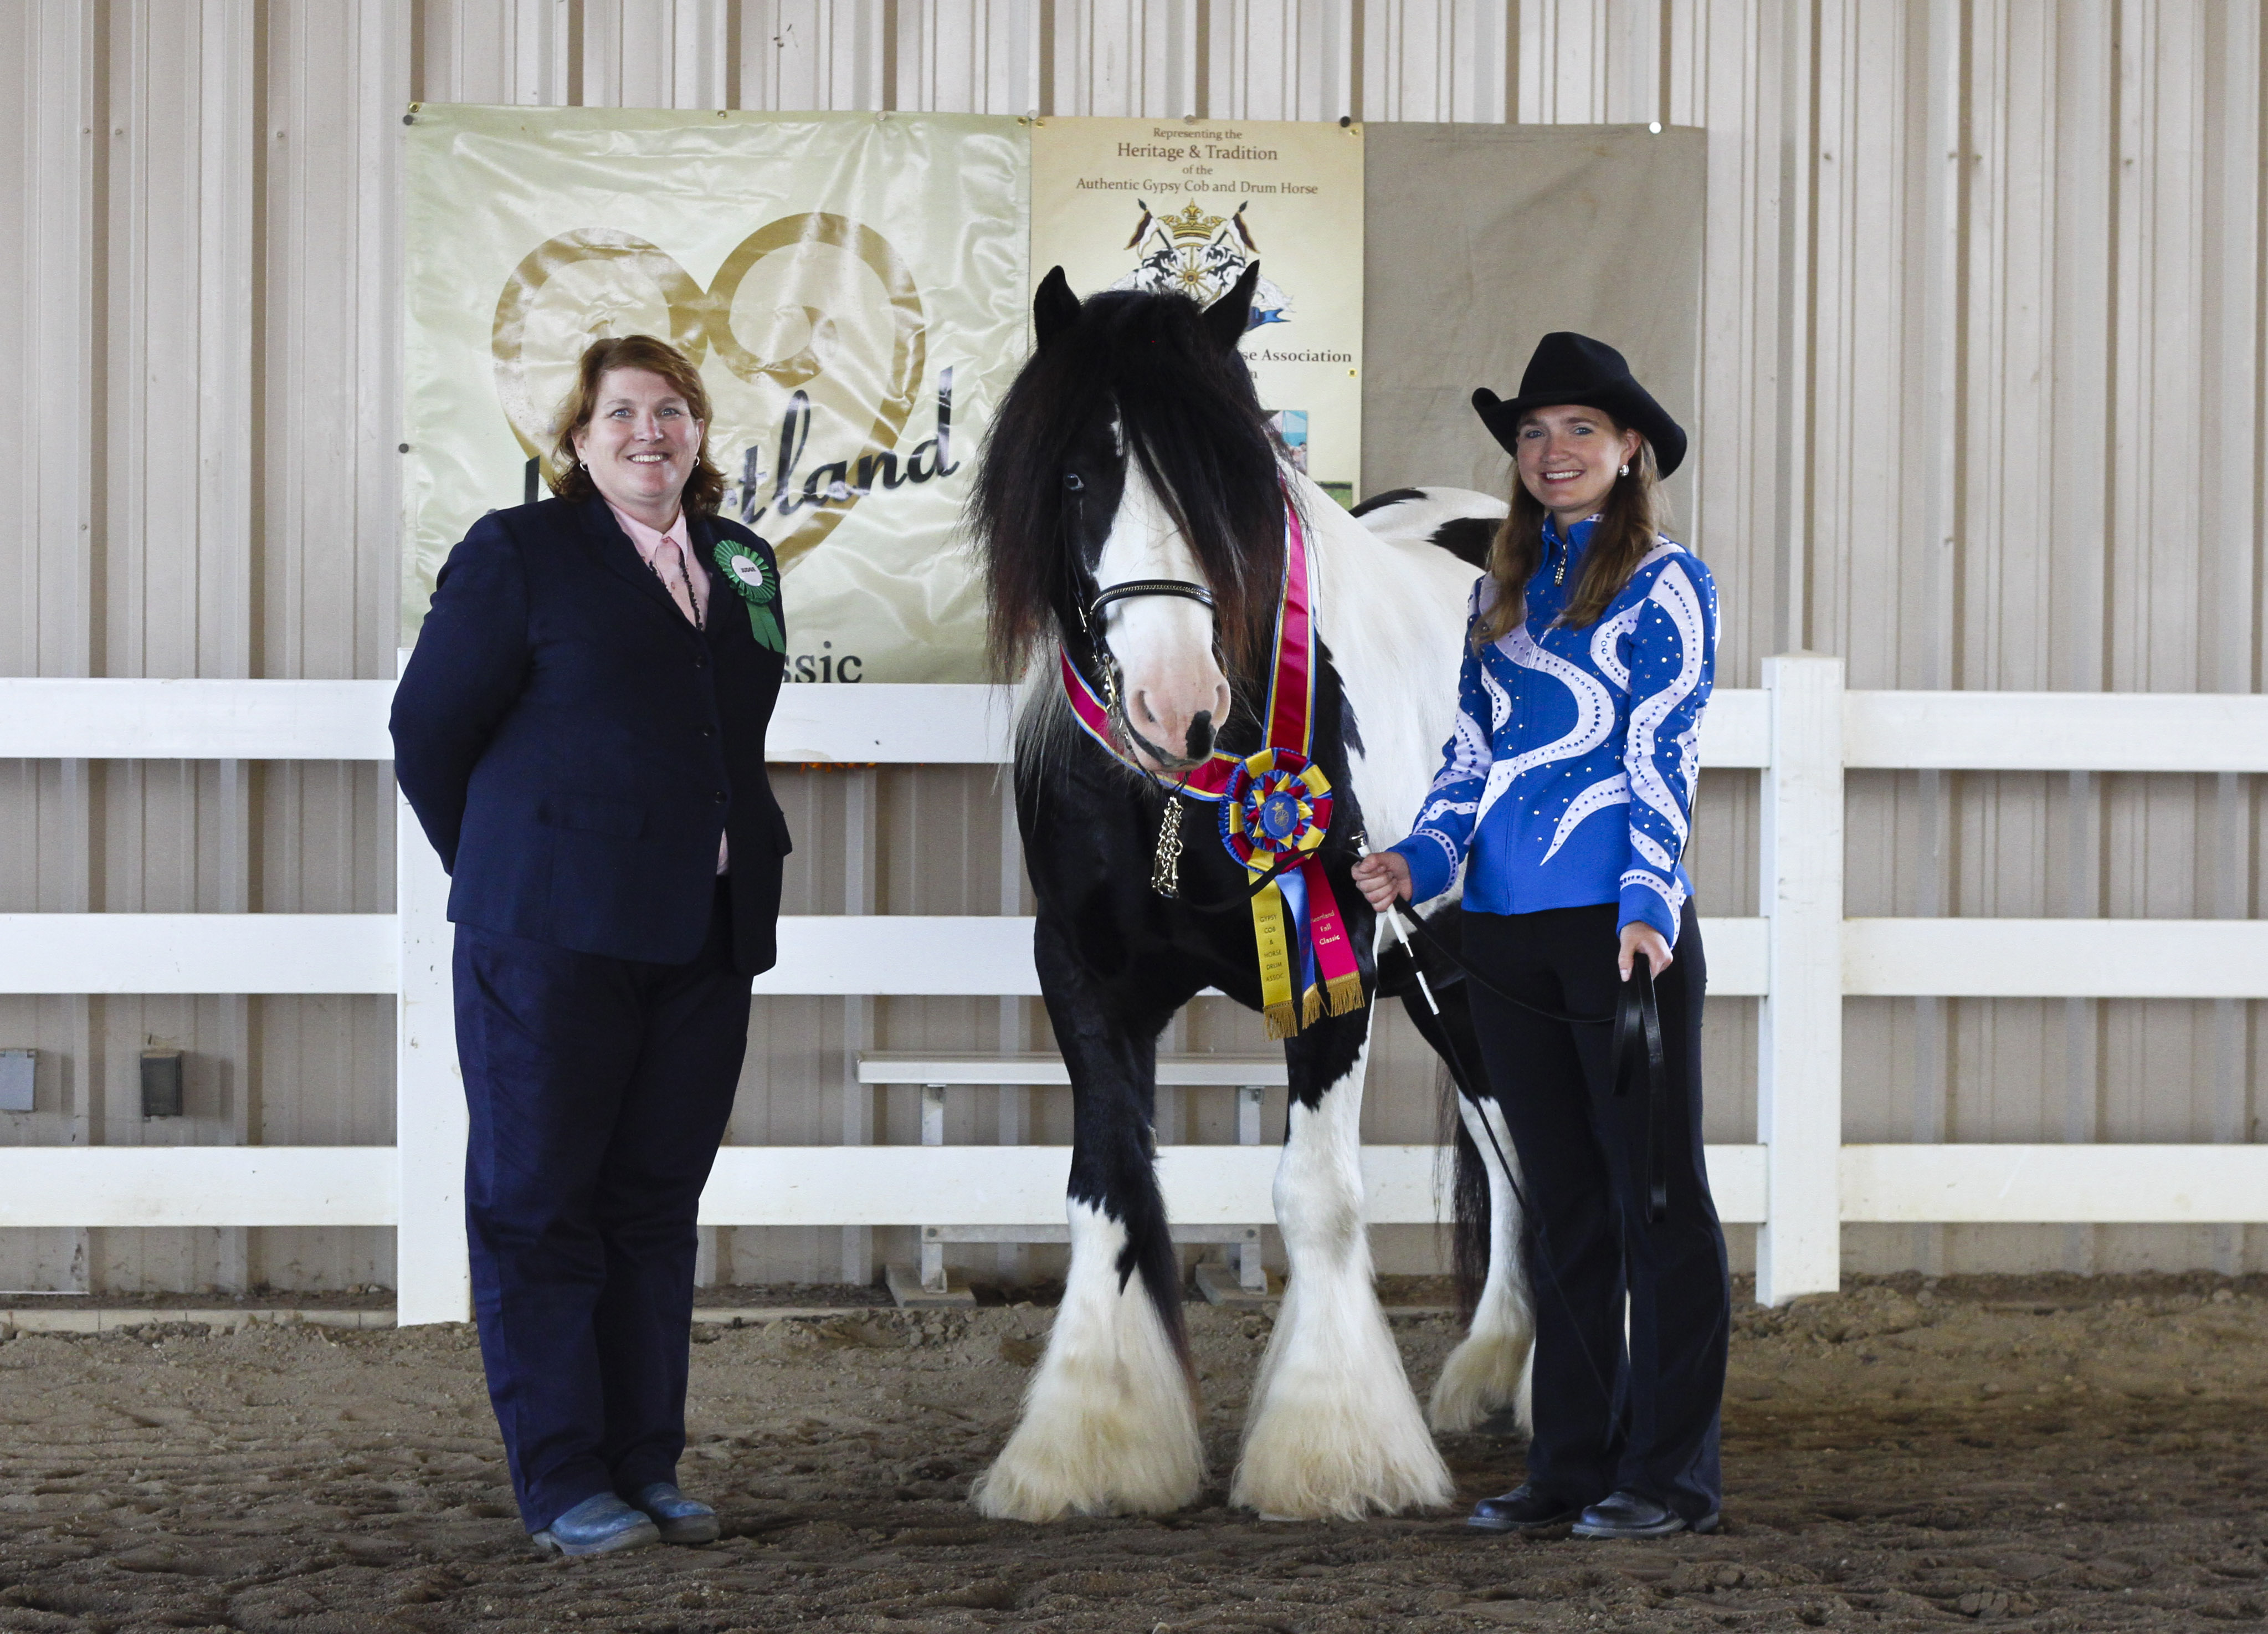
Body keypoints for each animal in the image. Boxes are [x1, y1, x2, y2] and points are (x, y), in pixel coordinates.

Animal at [966, 262, 1533, 1525]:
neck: (1172, 801)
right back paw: (1498, 1364)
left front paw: (1329, 1453)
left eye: (1227, 483)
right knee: (1511, 1132)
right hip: (1451, 983)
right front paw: (1090, 1444)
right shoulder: (1082, 975)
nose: (1176, 705)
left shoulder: (1335, 964)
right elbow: (1105, 1187)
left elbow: (1315, 1192)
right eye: (1074, 475)